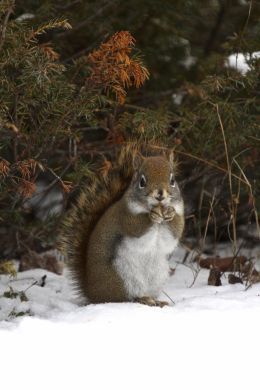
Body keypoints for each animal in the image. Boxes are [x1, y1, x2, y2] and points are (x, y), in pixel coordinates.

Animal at [61, 145, 184, 306]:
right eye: (142, 181)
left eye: (173, 180)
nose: (160, 194)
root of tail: (93, 294)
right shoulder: (125, 217)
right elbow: (137, 228)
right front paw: (152, 216)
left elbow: (174, 234)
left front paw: (170, 213)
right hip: (120, 278)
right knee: (123, 298)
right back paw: (141, 299)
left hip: (158, 275)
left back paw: (156, 301)